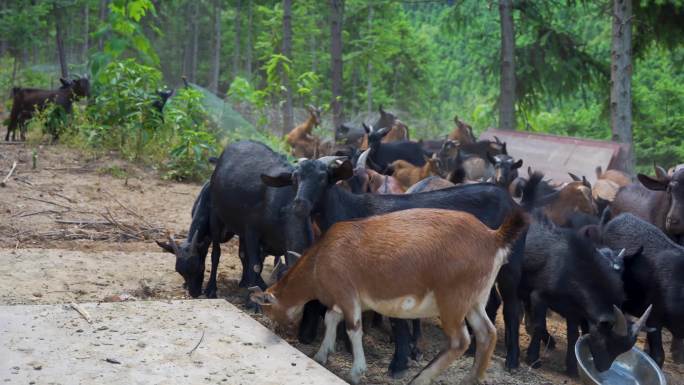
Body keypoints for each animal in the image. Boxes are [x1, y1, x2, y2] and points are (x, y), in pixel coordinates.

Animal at [250, 207, 524, 384]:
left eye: (268, 308)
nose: (280, 330)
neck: (320, 260)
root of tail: (492, 238)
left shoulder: (347, 293)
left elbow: (353, 328)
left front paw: (356, 372)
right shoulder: (345, 298)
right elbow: (331, 318)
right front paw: (321, 354)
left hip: (453, 299)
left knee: (460, 340)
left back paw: (421, 378)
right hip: (475, 300)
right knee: (487, 333)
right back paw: (472, 378)